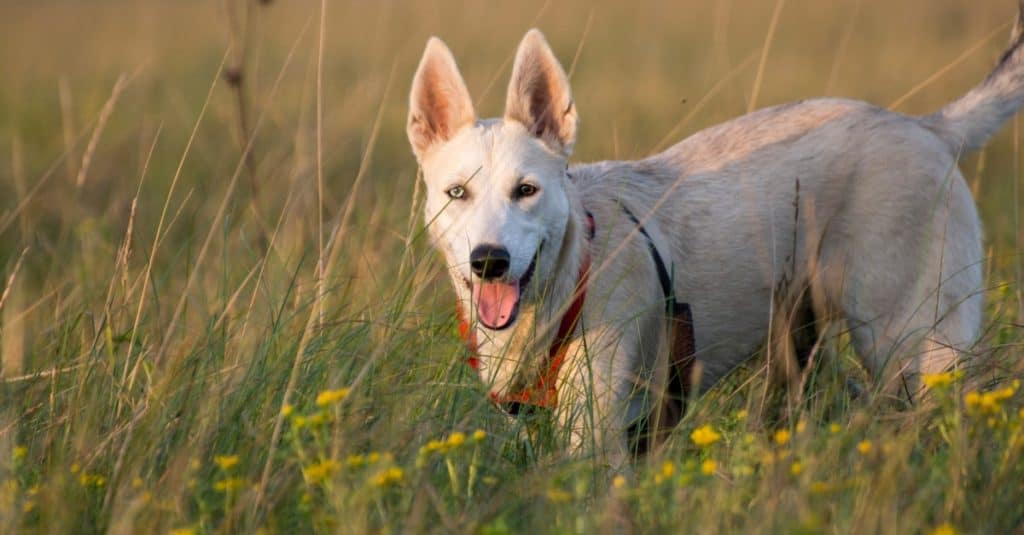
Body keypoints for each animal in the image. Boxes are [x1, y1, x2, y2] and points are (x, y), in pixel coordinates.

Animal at [403, 2, 1024, 463]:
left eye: (526, 190)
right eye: (457, 193)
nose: (490, 260)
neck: (570, 279)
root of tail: (927, 127)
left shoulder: (593, 438)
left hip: (913, 344)